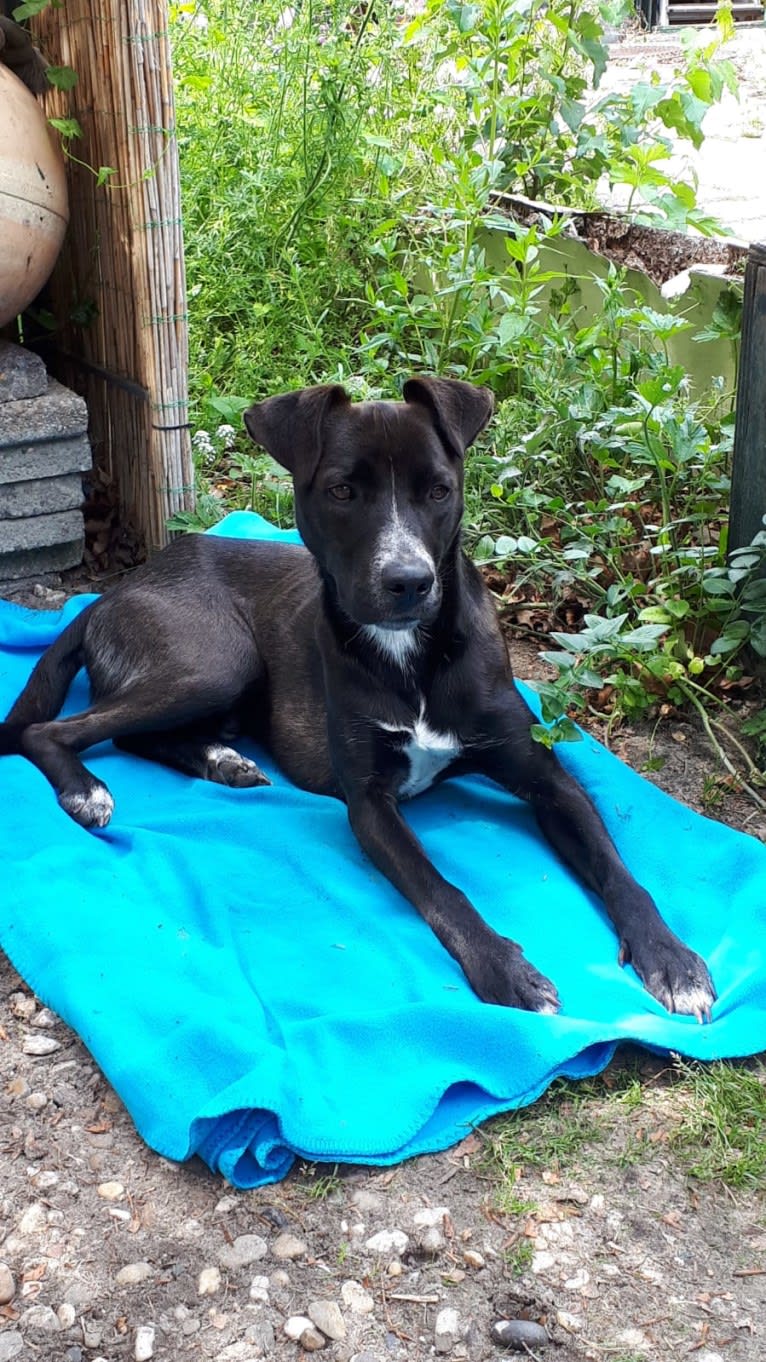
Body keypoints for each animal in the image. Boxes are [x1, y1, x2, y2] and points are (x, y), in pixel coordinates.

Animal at [1, 378, 714, 1018]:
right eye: (342, 490)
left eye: (439, 490)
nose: (410, 582)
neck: (411, 654)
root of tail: (107, 595)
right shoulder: (370, 804)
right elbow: (444, 891)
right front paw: (504, 968)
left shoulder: (546, 777)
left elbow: (620, 873)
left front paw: (673, 960)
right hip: (216, 661)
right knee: (55, 732)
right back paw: (88, 790)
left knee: (133, 734)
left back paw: (220, 761)